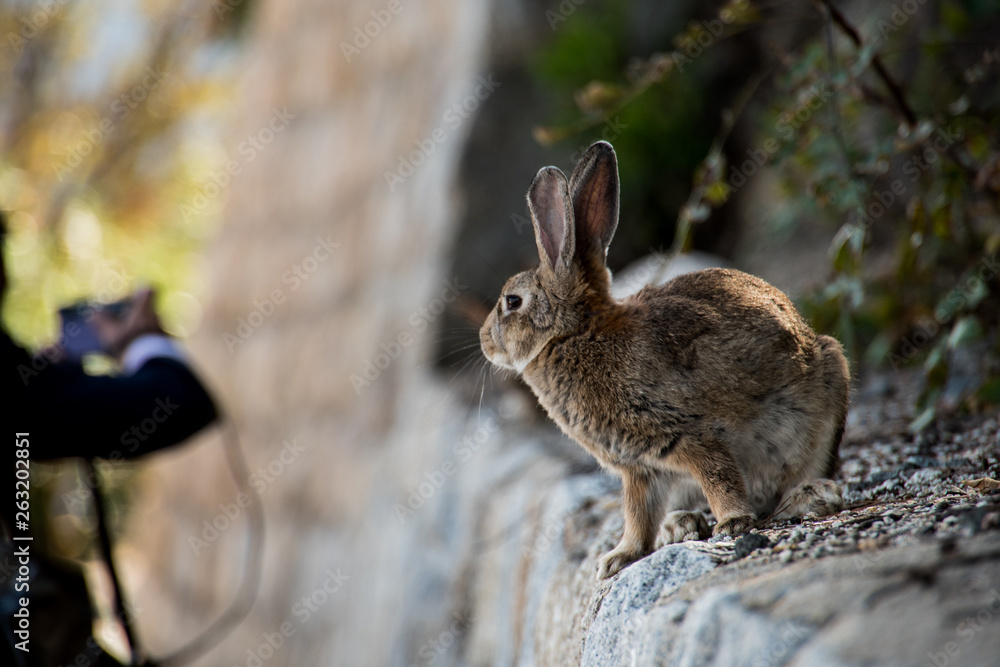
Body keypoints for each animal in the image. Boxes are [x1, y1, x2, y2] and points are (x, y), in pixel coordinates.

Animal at [480, 141, 850, 579]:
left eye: (512, 302)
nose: (484, 341)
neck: (578, 335)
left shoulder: (688, 434)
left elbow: (718, 476)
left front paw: (733, 523)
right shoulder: (640, 468)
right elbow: (638, 514)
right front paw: (618, 558)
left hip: (829, 395)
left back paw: (808, 497)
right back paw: (682, 524)